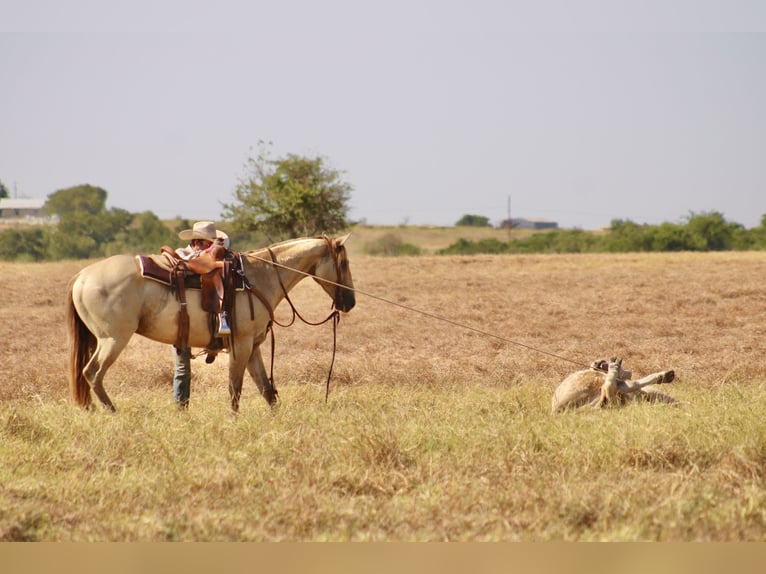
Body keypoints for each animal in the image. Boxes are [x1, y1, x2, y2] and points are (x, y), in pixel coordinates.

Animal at [66, 235, 355, 412]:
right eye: (344, 263)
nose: (350, 302)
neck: (259, 276)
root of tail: (82, 275)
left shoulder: (254, 346)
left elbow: (265, 388)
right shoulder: (241, 343)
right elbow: (235, 388)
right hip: (113, 339)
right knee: (92, 373)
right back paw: (112, 412)